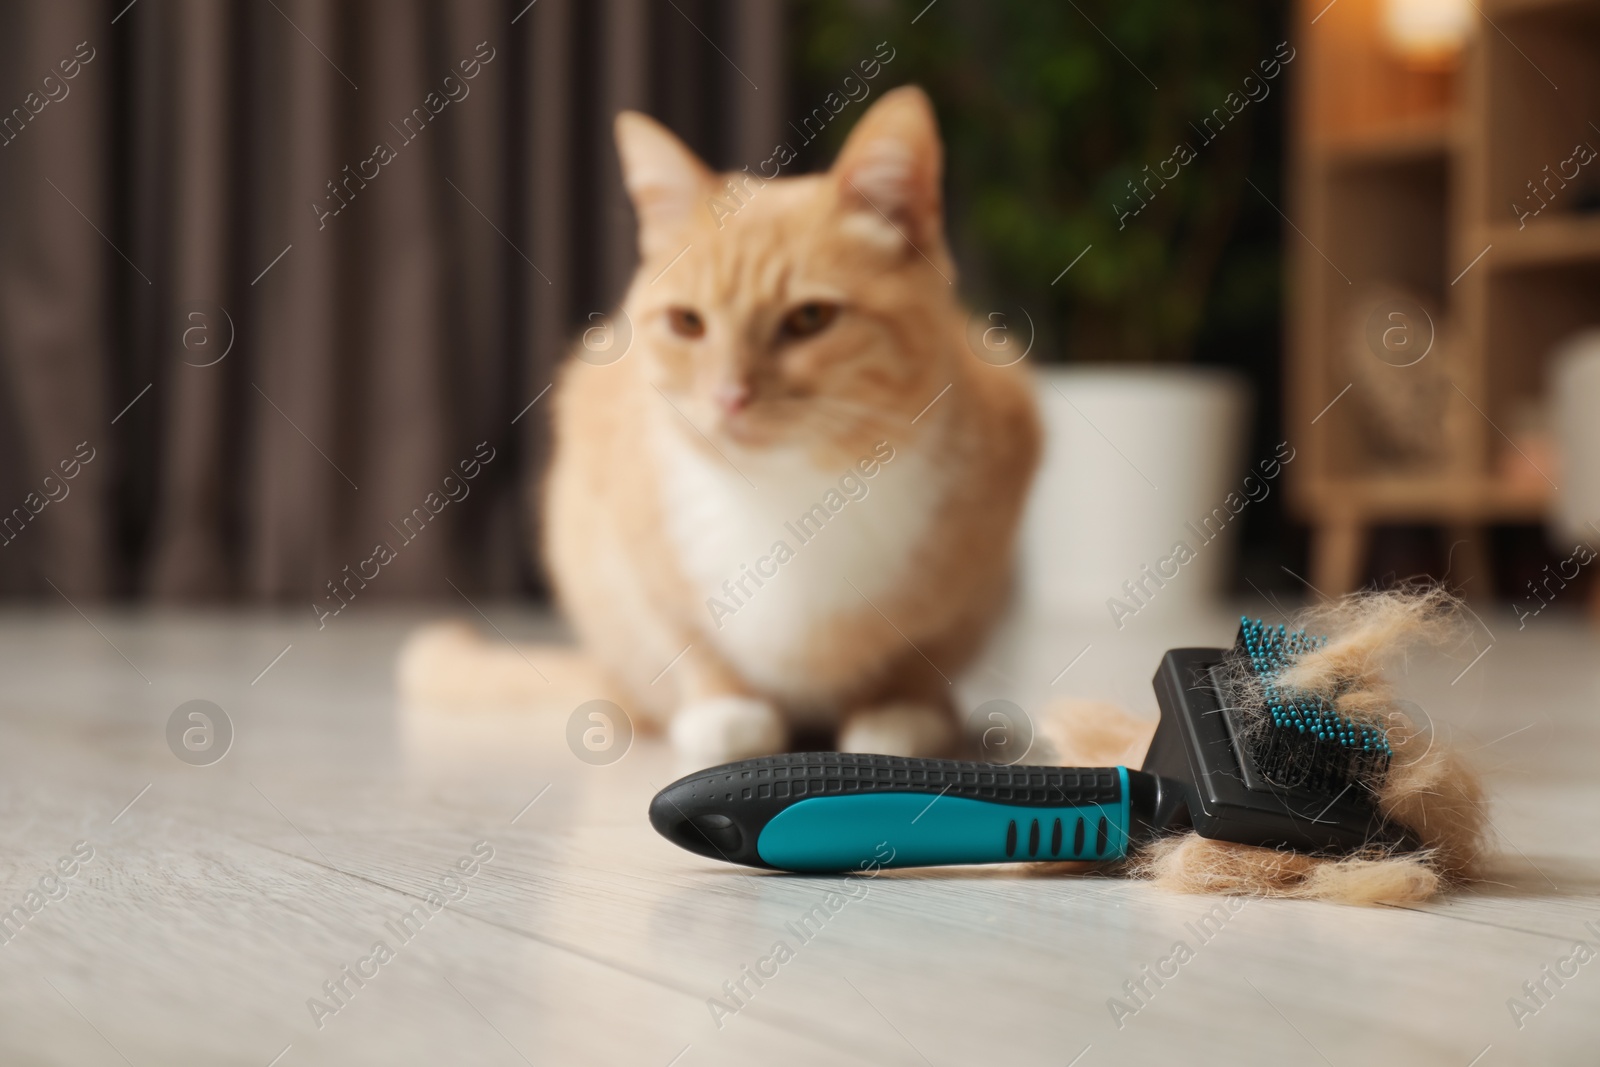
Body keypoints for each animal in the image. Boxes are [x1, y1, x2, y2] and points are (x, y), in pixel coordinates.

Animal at [403, 85, 1036, 767]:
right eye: (687, 323)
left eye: (810, 318)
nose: (729, 396)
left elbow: (924, 646)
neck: (790, 495)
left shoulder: (978, 564)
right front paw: (724, 708)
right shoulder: (623, 534)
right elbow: (687, 635)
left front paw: (901, 708)